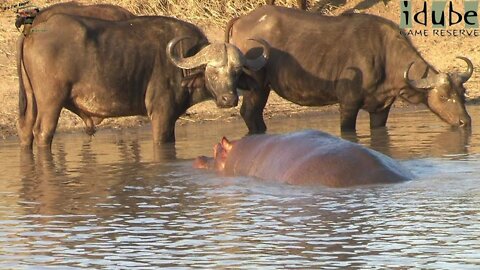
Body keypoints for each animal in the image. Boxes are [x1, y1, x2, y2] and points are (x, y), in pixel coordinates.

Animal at [225, 5, 472, 133]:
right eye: (443, 96)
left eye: (462, 94)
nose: (465, 122)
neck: (384, 55)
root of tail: (242, 19)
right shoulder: (348, 104)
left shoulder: (381, 109)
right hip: (257, 85)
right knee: (249, 113)